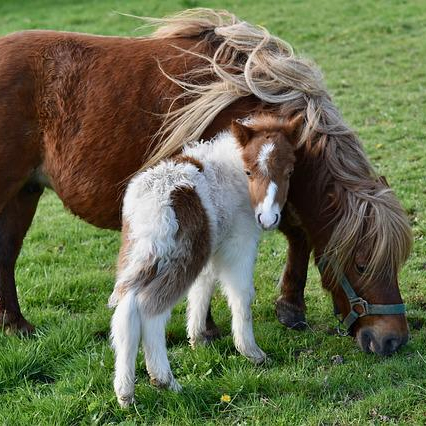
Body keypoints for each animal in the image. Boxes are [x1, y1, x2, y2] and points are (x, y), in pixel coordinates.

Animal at [0, 10, 412, 356]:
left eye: (397, 262)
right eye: (361, 264)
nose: (392, 340)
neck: (250, 101)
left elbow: (298, 233)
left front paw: (290, 307)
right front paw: (210, 329)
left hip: (24, 193)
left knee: (8, 253)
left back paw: (16, 326)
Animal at [109, 115, 300, 408]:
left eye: (289, 172)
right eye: (249, 171)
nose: (268, 219)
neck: (231, 174)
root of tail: (156, 202)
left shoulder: (211, 248)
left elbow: (203, 288)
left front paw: (197, 338)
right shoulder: (239, 243)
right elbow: (241, 295)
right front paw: (252, 352)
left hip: (139, 254)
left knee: (126, 309)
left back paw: (125, 393)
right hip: (181, 257)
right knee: (150, 309)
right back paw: (165, 381)